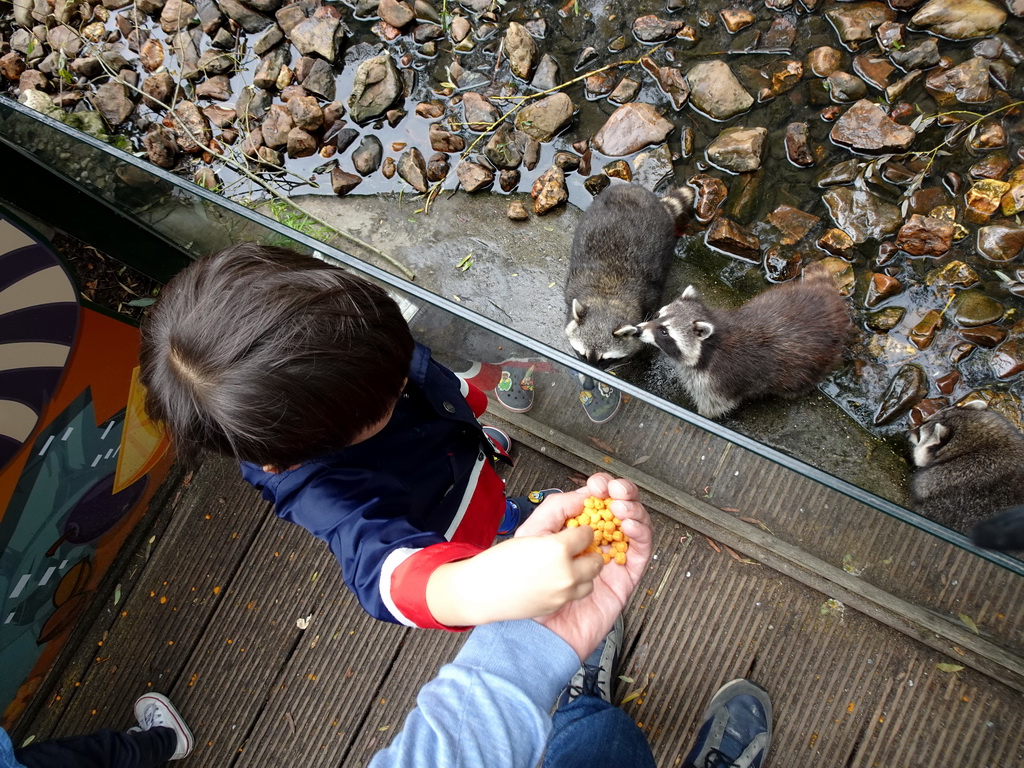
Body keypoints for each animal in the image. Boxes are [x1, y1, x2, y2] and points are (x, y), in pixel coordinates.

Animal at [565, 183, 692, 370]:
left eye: (605, 359)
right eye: (582, 354)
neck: (606, 295)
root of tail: (635, 188)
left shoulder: (649, 298)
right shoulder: (572, 287)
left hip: (665, 237)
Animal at [618, 264, 851, 421]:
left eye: (664, 332)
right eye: (658, 316)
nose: (639, 330)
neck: (708, 346)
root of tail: (829, 297)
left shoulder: (720, 380)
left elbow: (715, 406)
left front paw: (702, 414)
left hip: (815, 361)